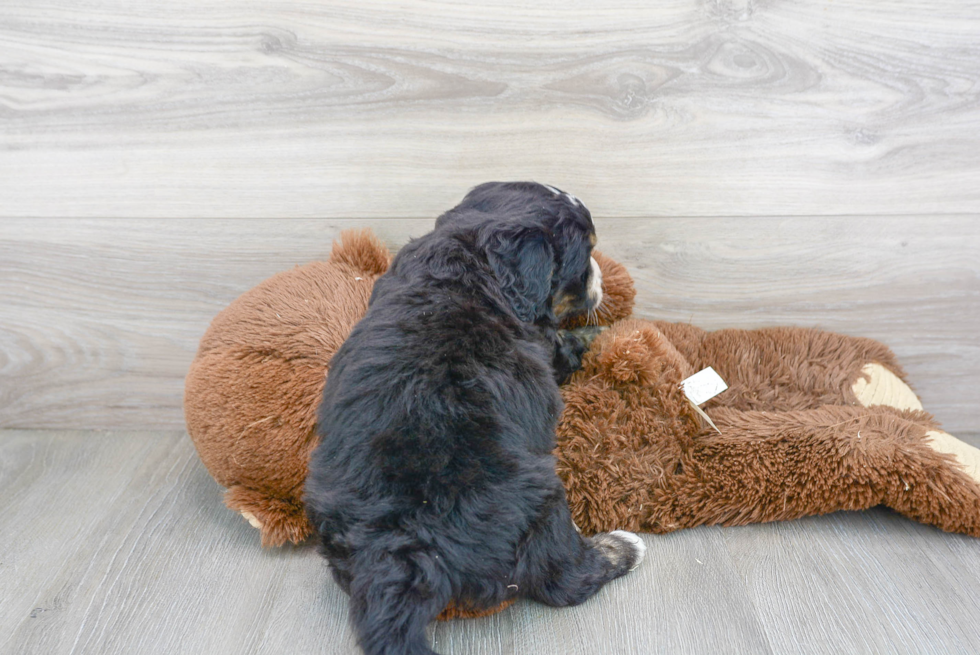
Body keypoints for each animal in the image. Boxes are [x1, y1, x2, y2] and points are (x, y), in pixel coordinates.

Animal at [306, 182, 644, 655]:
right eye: (585, 256)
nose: (599, 277)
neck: (472, 252)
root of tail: (404, 548)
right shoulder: (548, 344)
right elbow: (574, 342)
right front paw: (613, 329)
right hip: (541, 499)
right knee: (562, 578)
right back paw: (620, 548)